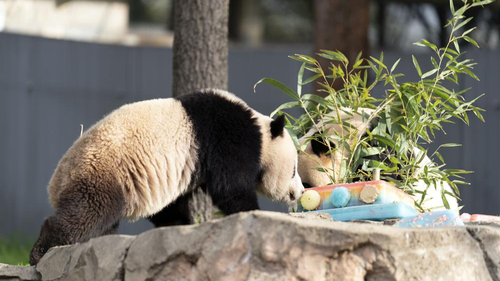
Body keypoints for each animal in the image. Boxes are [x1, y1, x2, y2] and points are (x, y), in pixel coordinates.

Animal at [32, 88, 304, 264]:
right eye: (293, 169)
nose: (299, 192)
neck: (260, 132)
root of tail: (55, 184)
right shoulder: (228, 138)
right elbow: (231, 188)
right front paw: (251, 213)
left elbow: (170, 207)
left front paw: (181, 226)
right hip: (103, 172)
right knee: (88, 211)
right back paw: (41, 250)